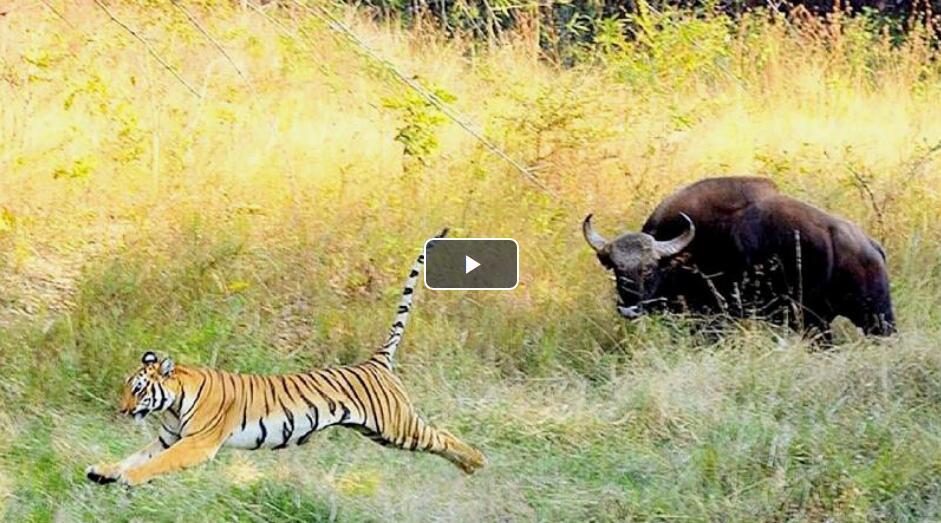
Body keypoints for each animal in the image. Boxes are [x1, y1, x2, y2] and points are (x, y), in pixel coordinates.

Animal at [86, 229, 486, 486]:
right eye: (127, 388)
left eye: (139, 390)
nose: (123, 410)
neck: (173, 401)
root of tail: (374, 361)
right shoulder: (169, 438)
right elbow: (137, 454)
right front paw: (104, 471)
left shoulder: (196, 443)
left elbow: (153, 464)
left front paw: (128, 478)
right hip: (381, 432)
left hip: (398, 425)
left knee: (442, 435)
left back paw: (477, 462)